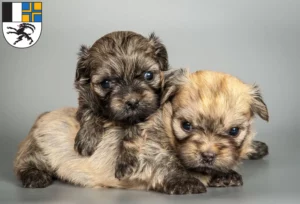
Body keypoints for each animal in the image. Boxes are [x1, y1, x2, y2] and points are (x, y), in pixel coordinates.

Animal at [73, 30, 173, 178]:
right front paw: (87, 138)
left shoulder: (149, 115)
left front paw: (125, 161)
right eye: (106, 83)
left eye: (148, 75)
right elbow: (89, 112)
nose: (132, 102)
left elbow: (132, 134)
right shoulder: (84, 99)